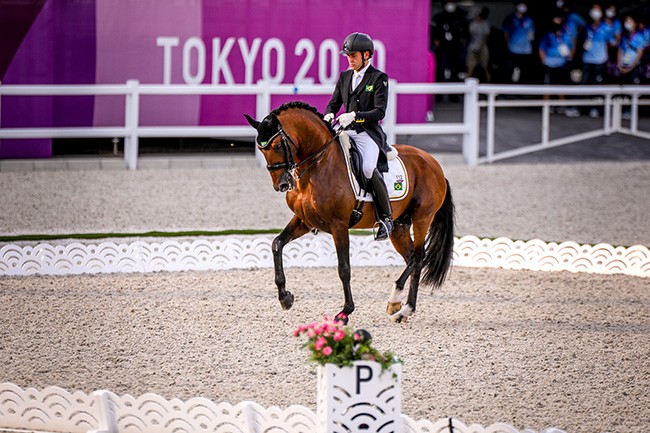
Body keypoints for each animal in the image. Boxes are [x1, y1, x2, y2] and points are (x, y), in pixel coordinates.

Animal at [243, 101, 450, 320]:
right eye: (260, 149)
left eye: (277, 145)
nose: (281, 185)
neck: (318, 166)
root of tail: (434, 164)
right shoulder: (303, 221)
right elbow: (276, 244)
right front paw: (285, 297)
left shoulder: (339, 225)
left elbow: (344, 268)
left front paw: (345, 312)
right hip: (399, 226)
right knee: (411, 257)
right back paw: (400, 307)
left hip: (422, 218)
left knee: (418, 257)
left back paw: (401, 302)